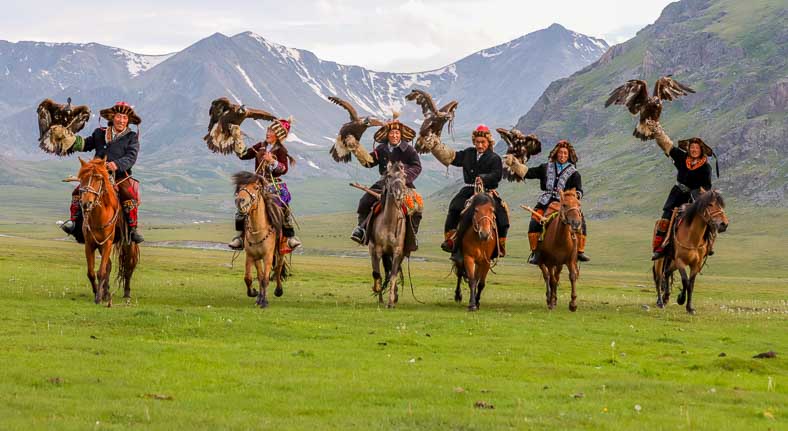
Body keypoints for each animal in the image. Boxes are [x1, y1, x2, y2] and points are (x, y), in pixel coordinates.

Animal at [76, 158, 139, 308]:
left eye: (98, 178)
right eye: (82, 178)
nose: (86, 203)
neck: (99, 215)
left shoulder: (107, 243)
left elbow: (101, 271)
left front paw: (98, 297)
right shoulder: (90, 244)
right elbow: (92, 272)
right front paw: (97, 292)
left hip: (127, 243)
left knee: (129, 265)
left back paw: (126, 293)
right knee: (110, 266)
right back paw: (106, 292)